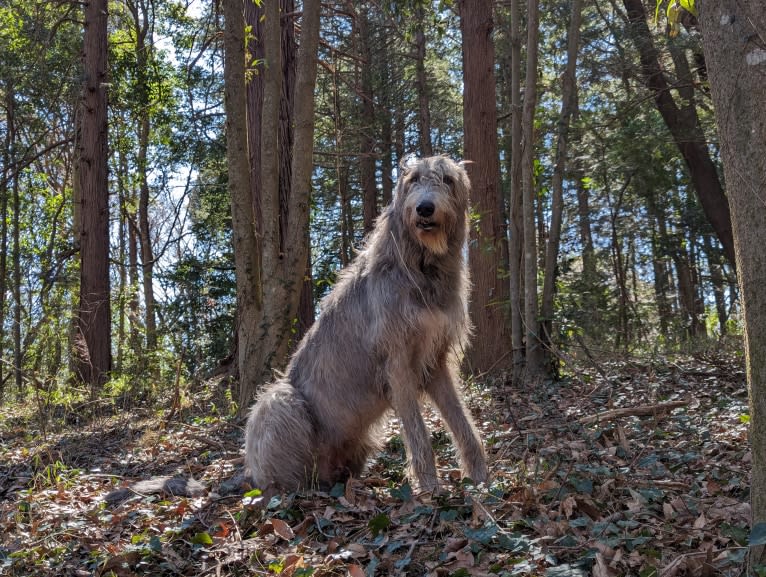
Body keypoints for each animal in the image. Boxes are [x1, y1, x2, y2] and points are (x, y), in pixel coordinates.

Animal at [243, 155, 488, 492]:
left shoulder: (435, 359)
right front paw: (430, 489)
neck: (422, 266)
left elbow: (462, 421)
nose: (425, 208)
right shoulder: (397, 361)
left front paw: (481, 479)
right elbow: (418, 432)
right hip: (278, 401)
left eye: (447, 180)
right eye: (412, 179)